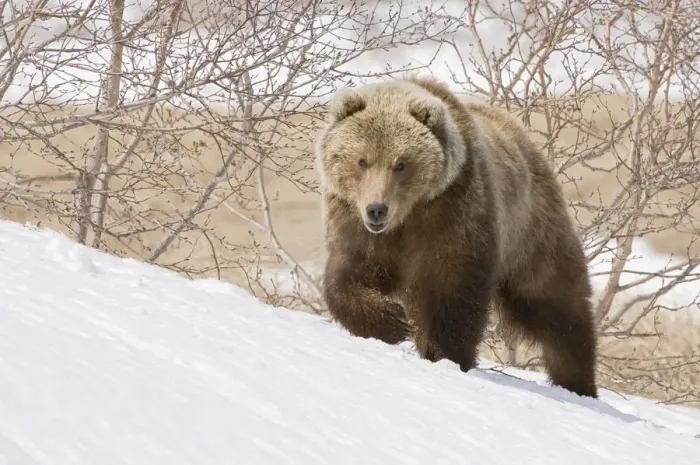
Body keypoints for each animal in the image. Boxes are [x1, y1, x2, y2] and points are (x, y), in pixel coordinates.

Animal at [315, 75, 598, 398]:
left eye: (401, 163)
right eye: (362, 161)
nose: (377, 209)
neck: (407, 215)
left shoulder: (453, 215)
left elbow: (451, 292)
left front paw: (445, 353)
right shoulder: (357, 224)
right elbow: (347, 276)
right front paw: (392, 321)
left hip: (531, 229)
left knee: (555, 303)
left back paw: (578, 382)